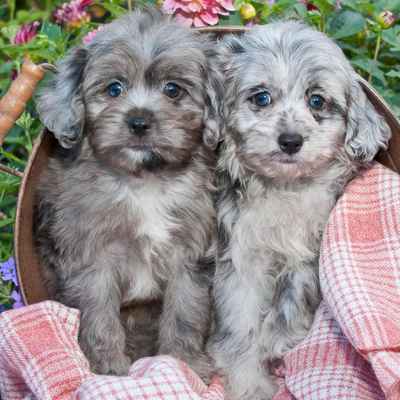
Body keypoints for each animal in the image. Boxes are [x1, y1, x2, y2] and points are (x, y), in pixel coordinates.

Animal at [34, 8, 222, 378]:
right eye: (114, 88)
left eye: (173, 90)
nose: (138, 121)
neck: (143, 183)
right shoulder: (93, 260)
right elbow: (99, 317)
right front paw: (108, 367)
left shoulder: (189, 255)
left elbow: (185, 312)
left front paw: (184, 363)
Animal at [208, 20, 392, 398]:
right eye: (261, 97)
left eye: (317, 100)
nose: (291, 141)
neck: (284, 189)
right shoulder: (240, 259)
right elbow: (241, 323)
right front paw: (249, 383)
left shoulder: (307, 253)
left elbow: (292, 301)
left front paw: (279, 340)